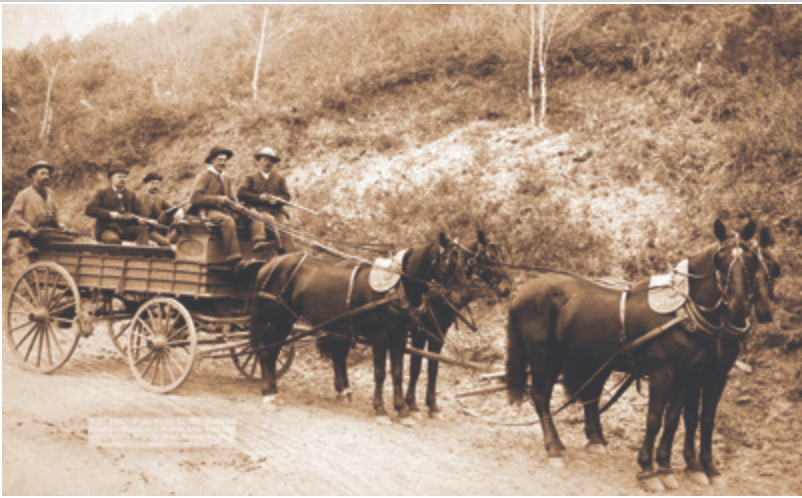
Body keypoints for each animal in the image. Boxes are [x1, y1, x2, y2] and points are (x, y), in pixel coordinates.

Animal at [252, 231, 468, 418]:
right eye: (448, 262)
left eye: (463, 264)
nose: (460, 297)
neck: (395, 290)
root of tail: (268, 265)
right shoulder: (380, 337)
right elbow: (380, 372)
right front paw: (380, 408)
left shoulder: (399, 338)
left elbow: (398, 372)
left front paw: (401, 408)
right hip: (277, 320)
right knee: (267, 352)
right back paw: (269, 392)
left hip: (287, 321)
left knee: (275, 351)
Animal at [406, 231, 512, 416]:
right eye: (491, 257)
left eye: (501, 256)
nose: (506, 288)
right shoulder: (420, 332)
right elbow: (415, 365)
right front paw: (411, 402)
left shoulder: (439, 333)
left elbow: (433, 366)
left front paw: (431, 403)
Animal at [504, 219, 760, 490]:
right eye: (720, 260)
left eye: (752, 260)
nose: (738, 308)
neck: (681, 313)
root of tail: (521, 292)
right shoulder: (664, 372)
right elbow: (655, 418)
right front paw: (648, 469)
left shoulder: (692, 374)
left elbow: (678, 418)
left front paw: (671, 467)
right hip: (545, 355)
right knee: (541, 396)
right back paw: (554, 448)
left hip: (587, 358)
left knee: (589, 394)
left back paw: (594, 442)